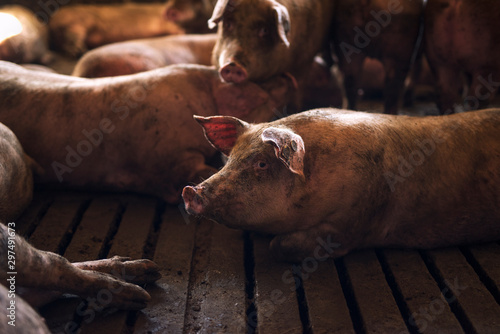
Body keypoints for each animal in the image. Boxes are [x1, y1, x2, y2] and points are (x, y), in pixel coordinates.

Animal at [183, 108, 500, 260]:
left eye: (261, 164)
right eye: (231, 158)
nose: (190, 191)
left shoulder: (353, 223)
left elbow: (280, 246)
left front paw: (275, 244)